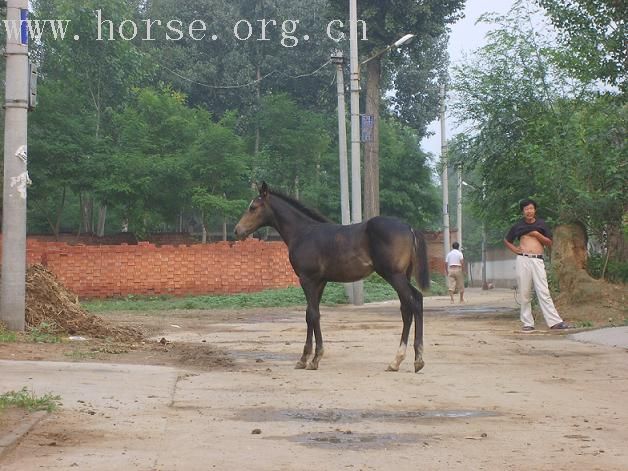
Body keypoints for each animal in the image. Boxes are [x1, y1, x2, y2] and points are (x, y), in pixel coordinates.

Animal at [236, 183, 432, 374]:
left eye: (253, 207)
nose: (237, 230)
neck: (303, 233)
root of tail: (409, 228)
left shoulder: (306, 279)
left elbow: (313, 314)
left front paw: (314, 359)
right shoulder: (320, 281)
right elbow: (310, 314)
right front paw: (304, 359)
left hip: (394, 275)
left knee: (415, 303)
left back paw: (418, 360)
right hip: (402, 275)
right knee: (408, 308)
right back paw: (396, 361)